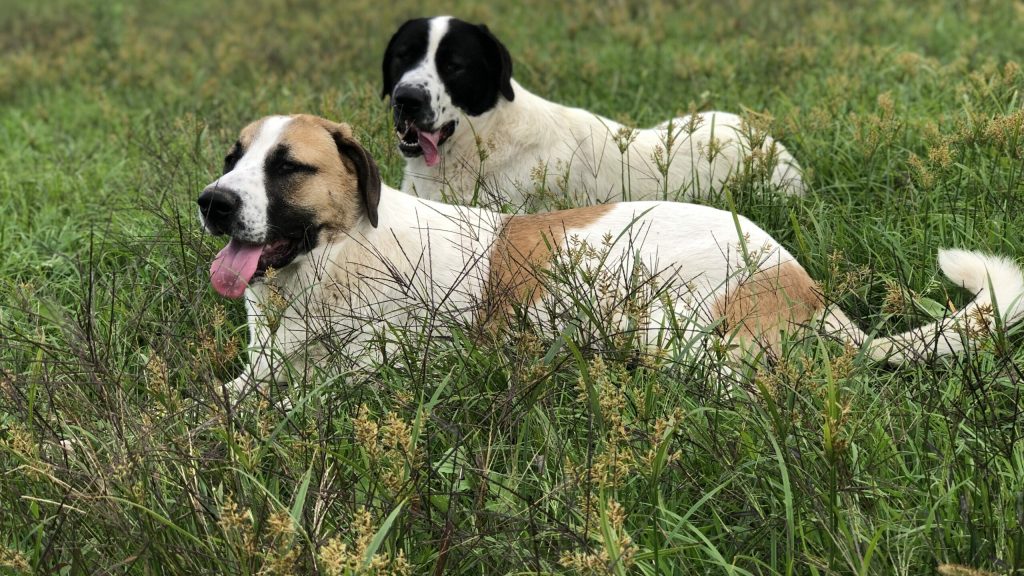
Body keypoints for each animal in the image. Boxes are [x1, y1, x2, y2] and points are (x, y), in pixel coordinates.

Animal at [197, 113, 1024, 389]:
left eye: (287, 166)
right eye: (233, 157)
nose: (213, 202)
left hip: (665, 325)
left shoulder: (369, 374)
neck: (331, 264)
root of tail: (806, 287)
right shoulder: (257, 374)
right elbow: (224, 401)